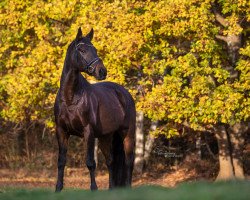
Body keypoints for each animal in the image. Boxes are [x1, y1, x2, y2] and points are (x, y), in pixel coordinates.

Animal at [54, 27, 136, 191]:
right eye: (82, 50)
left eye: (95, 50)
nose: (102, 71)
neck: (70, 98)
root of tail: (124, 93)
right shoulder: (61, 131)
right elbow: (61, 161)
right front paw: (58, 188)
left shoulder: (88, 132)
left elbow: (90, 162)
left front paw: (93, 188)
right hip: (106, 137)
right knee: (111, 161)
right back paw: (111, 189)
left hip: (128, 134)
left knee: (129, 162)